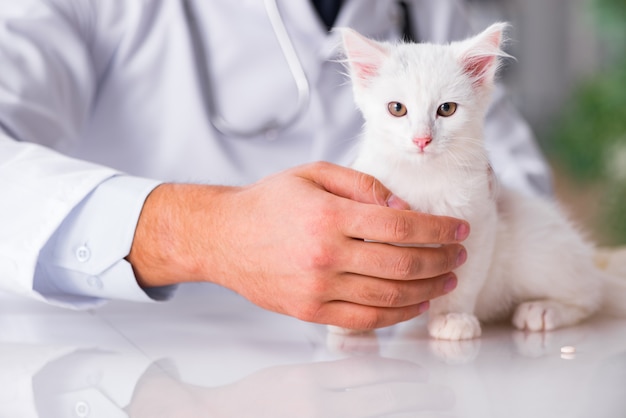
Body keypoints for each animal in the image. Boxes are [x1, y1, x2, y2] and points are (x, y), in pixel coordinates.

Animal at [334, 23, 620, 340]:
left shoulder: (479, 224)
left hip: (538, 249)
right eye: (397, 108)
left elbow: (461, 282)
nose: (422, 139)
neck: (424, 176)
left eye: (446, 109)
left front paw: (451, 317)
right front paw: (351, 320)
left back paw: (544, 310)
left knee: (591, 294)